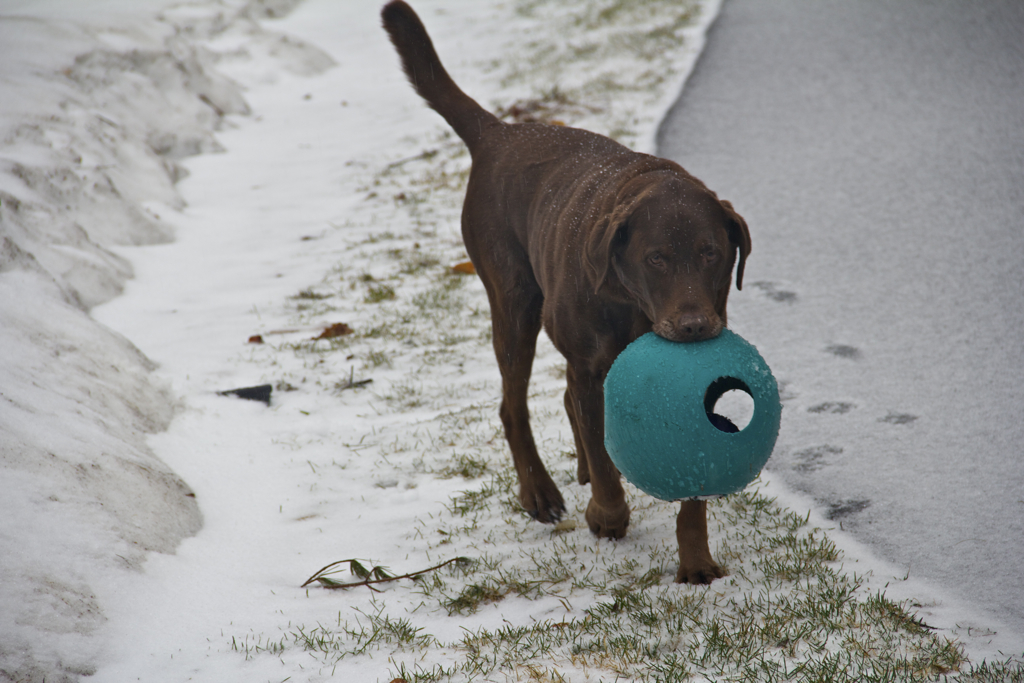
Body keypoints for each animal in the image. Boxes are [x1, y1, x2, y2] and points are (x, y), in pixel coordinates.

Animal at [380, 2, 749, 585]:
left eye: (711, 253)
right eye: (656, 259)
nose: (693, 326)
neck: (632, 305)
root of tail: (498, 132)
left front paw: (695, 562)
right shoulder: (589, 365)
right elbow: (604, 459)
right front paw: (607, 514)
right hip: (513, 304)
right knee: (514, 405)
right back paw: (540, 491)